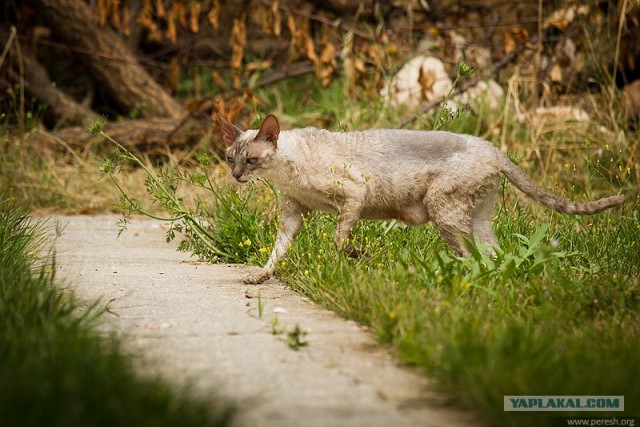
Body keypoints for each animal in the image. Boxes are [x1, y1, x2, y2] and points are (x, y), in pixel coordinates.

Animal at [216, 115, 624, 286]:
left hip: (445, 211)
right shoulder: (292, 215)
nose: (236, 176)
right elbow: (277, 251)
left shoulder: (355, 192)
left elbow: (339, 240)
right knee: (496, 256)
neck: (285, 173)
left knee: (474, 257)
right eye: (229, 158)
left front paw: (360, 257)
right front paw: (259, 277)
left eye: (251, 160)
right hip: (476, 217)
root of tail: (493, 148)